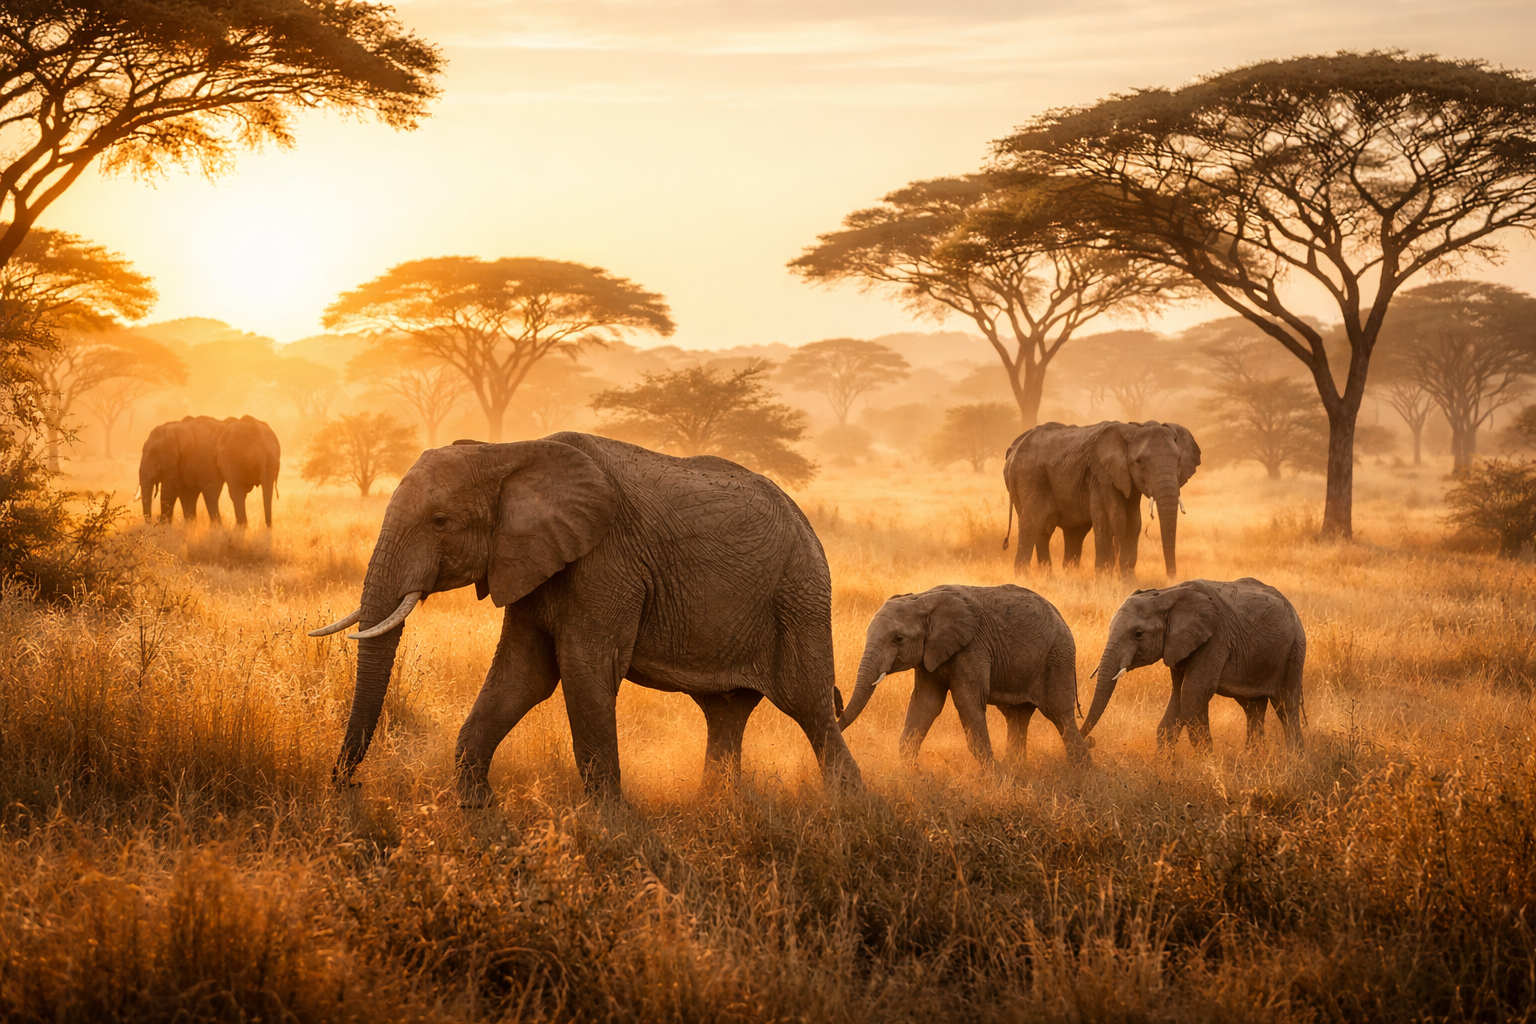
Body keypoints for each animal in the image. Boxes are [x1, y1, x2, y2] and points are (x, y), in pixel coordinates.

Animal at [307, 432, 862, 804]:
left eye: (440, 521)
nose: (349, 785)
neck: (508, 452)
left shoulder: (606, 563)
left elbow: (583, 672)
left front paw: (611, 824)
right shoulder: (532, 562)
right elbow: (523, 676)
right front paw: (476, 809)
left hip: (799, 596)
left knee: (810, 707)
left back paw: (847, 812)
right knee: (725, 711)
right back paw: (718, 806)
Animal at [837, 584, 1091, 767]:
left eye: (898, 639)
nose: (837, 705)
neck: (924, 599)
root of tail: (1060, 616)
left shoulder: (972, 648)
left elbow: (967, 701)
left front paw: (993, 775)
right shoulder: (930, 654)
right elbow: (926, 703)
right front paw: (914, 774)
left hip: (1057, 656)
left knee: (1060, 713)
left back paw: (1080, 772)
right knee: (1016, 716)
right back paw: (1016, 769)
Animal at [1003, 421, 1200, 578]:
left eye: (1179, 459)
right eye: (1139, 462)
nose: (1171, 577)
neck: (1132, 430)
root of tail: (1014, 448)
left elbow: (1133, 523)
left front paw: (1127, 583)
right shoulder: (1101, 479)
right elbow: (1111, 520)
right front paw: (1105, 582)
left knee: (1068, 532)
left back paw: (1060, 578)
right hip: (1029, 477)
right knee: (1034, 522)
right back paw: (1024, 579)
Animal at [1083, 578, 1306, 750]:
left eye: (1138, 634)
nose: (1090, 741)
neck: (1166, 594)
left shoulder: (1215, 640)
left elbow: (1193, 694)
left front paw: (1208, 770)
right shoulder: (1178, 646)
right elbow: (1178, 697)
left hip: (1294, 650)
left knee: (1286, 707)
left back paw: (1294, 760)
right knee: (1253, 709)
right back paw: (1254, 761)